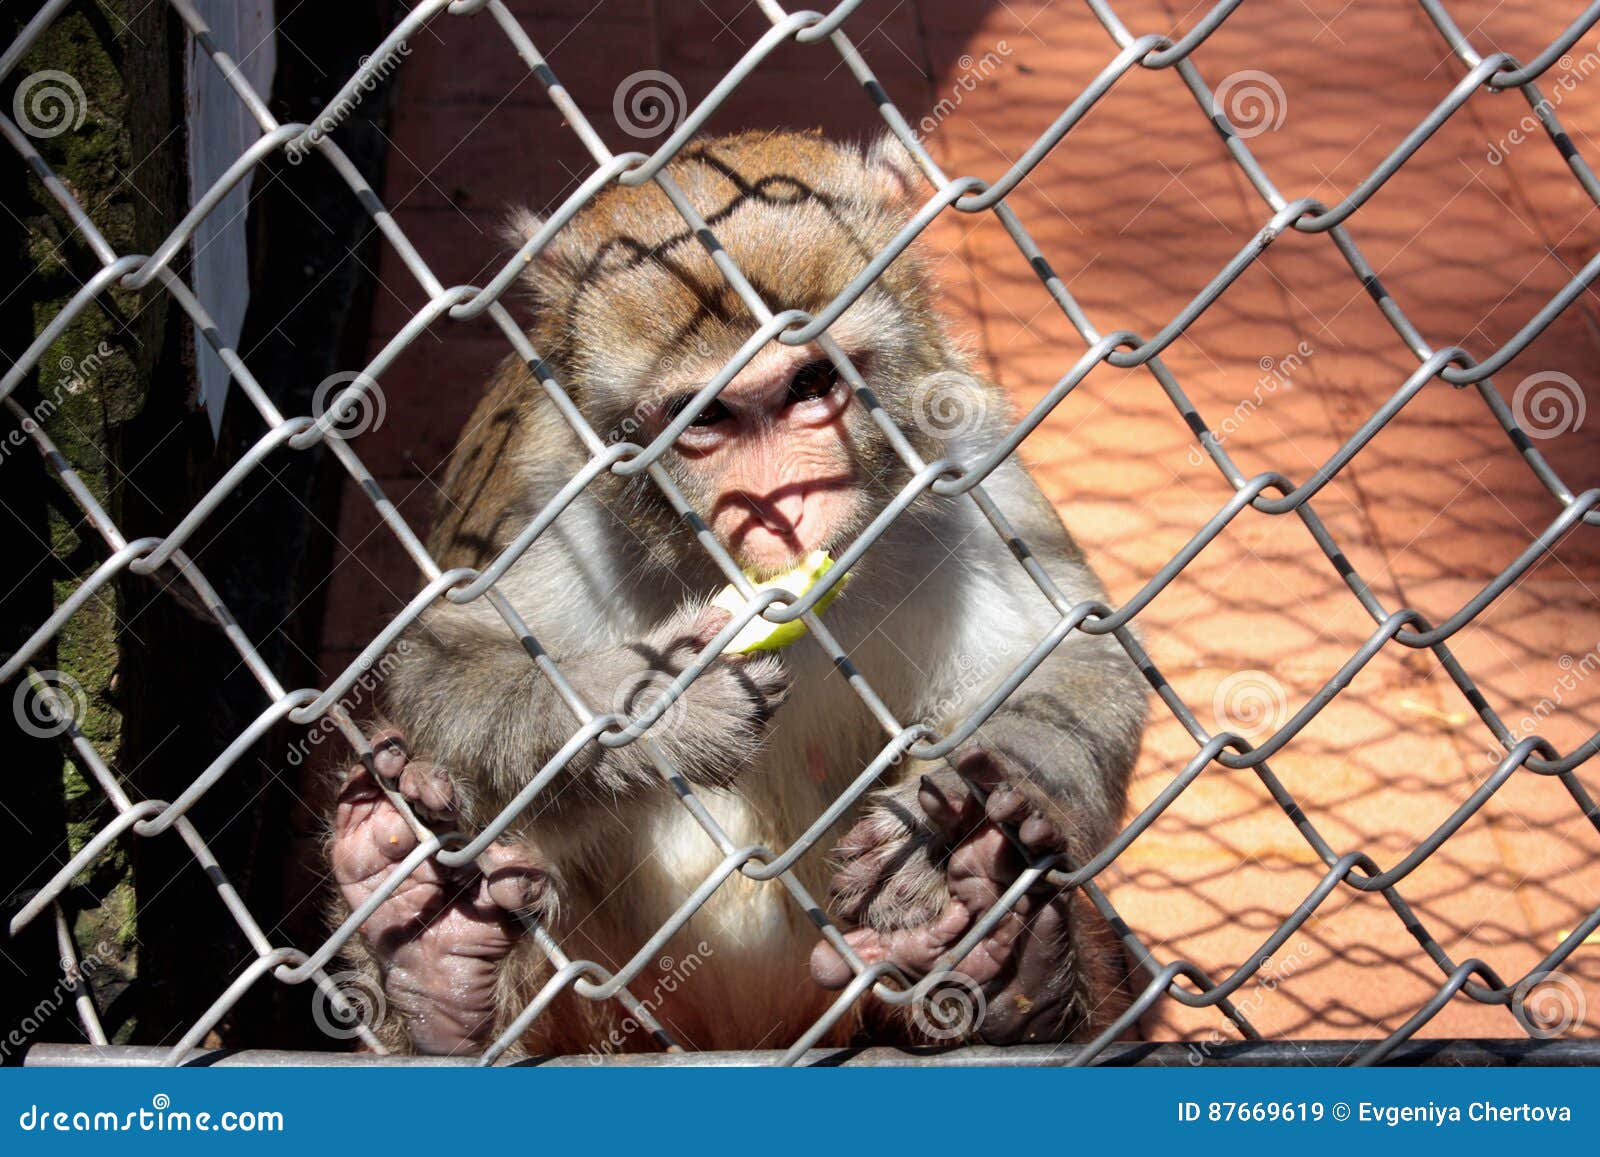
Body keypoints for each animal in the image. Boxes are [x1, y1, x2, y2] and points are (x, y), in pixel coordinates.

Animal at [328, 128, 1152, 1056]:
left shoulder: (962, 456)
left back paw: (1014, 971)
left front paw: (945, 827)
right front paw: (659, 705)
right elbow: (444, 665)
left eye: (811, 385)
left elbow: (1078, 660)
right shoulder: (549, 496)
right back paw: (428, 959)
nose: (779, 503)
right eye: (709, 417)